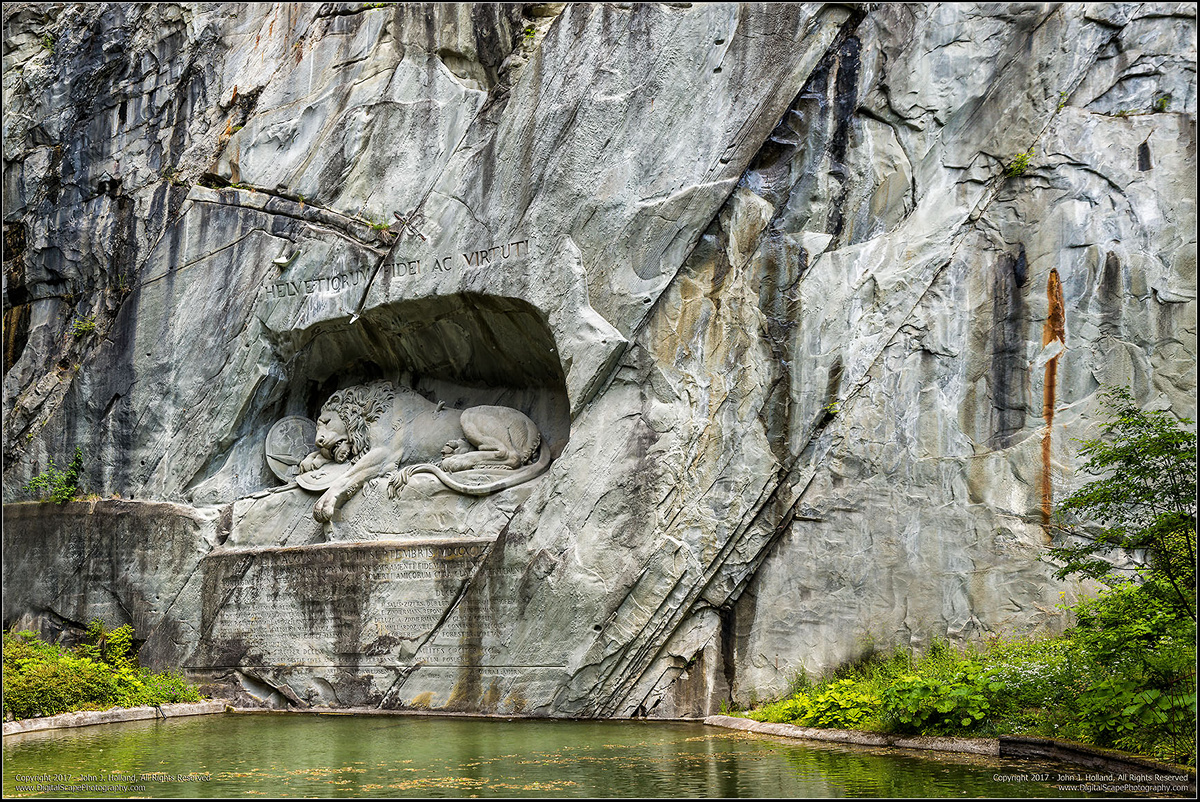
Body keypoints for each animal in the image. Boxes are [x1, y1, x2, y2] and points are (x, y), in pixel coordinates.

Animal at [274, 384, 549, 525]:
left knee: (510, 455)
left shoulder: (384, 453)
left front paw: (325, 503)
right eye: (318, 426)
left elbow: (348, 476)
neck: (366, 417)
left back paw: (455, 461)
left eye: (325, 421)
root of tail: (535, 429)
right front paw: (309, 461)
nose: (318, 440)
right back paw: (453, 451)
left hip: (470, 415)